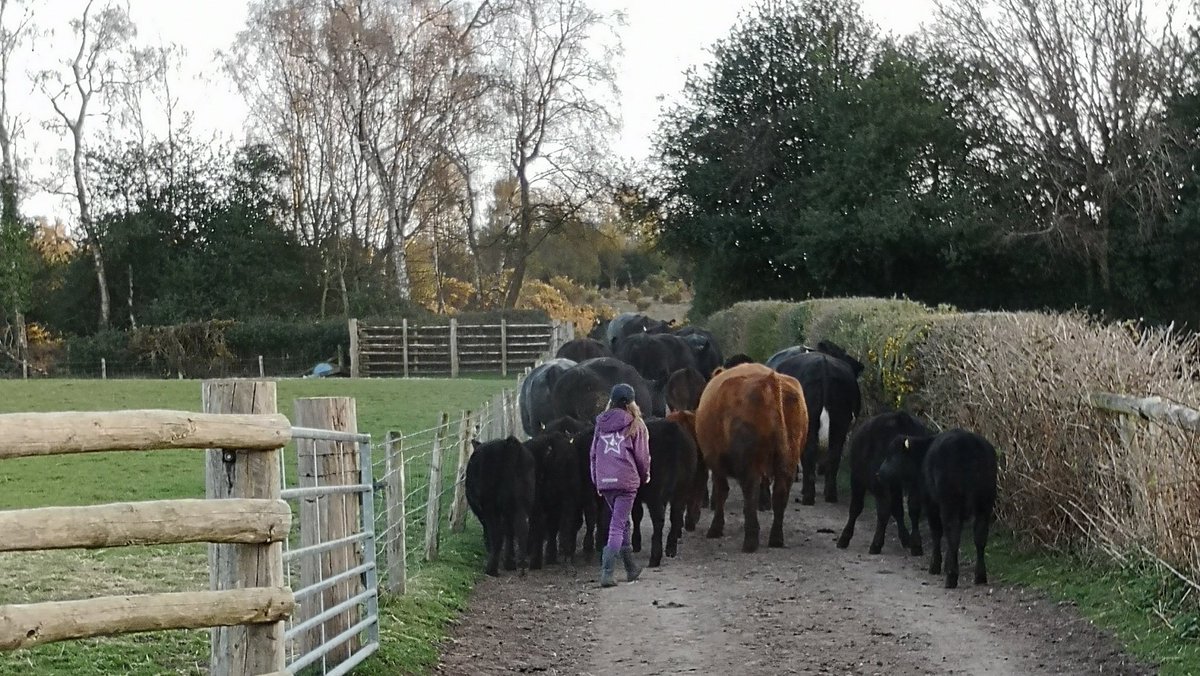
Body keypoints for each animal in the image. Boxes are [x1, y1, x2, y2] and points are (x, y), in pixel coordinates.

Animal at [465, 437, 537, 576]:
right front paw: (509, 561)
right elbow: (509, 532)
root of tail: (509, 444)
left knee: (497, 534)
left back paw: (491, 569)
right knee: (521, 530)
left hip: (492, 506)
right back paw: (521, 565)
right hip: (521, 504)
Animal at [694, 363, 808, 552]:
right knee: (780, 495)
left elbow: (721, 492)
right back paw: (776, 538)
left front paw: (716, 528)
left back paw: (750, 540)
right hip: (789, 460)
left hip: (748, 463)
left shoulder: (715, 462)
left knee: (750, 494)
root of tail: (770, 380)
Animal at [769, 340, 864, 504]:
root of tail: (823, 365)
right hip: (840, 422)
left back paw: (808, 495)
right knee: (834, 454)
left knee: (808, 451)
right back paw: (830, 495)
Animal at [836, 411, 931, 554]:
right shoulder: (897, 485)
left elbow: (855, 508)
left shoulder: (857, 478)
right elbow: (898, 510)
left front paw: (844, 537)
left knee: (883, 510)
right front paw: (906, 538)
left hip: (877, 482)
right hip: (912, 483)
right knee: (913, 509)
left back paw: (876, 544)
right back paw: (916, 546)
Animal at [878, 429, 999, 589]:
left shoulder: (931, 503)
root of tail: (970, 443)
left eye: (892, 455)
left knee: (953, 534)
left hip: (950, 504)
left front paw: (935, 565)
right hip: (984, 504)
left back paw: (951, 577)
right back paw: (980, 576)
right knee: (980, 537)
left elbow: (936, 532)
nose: (879, 473)